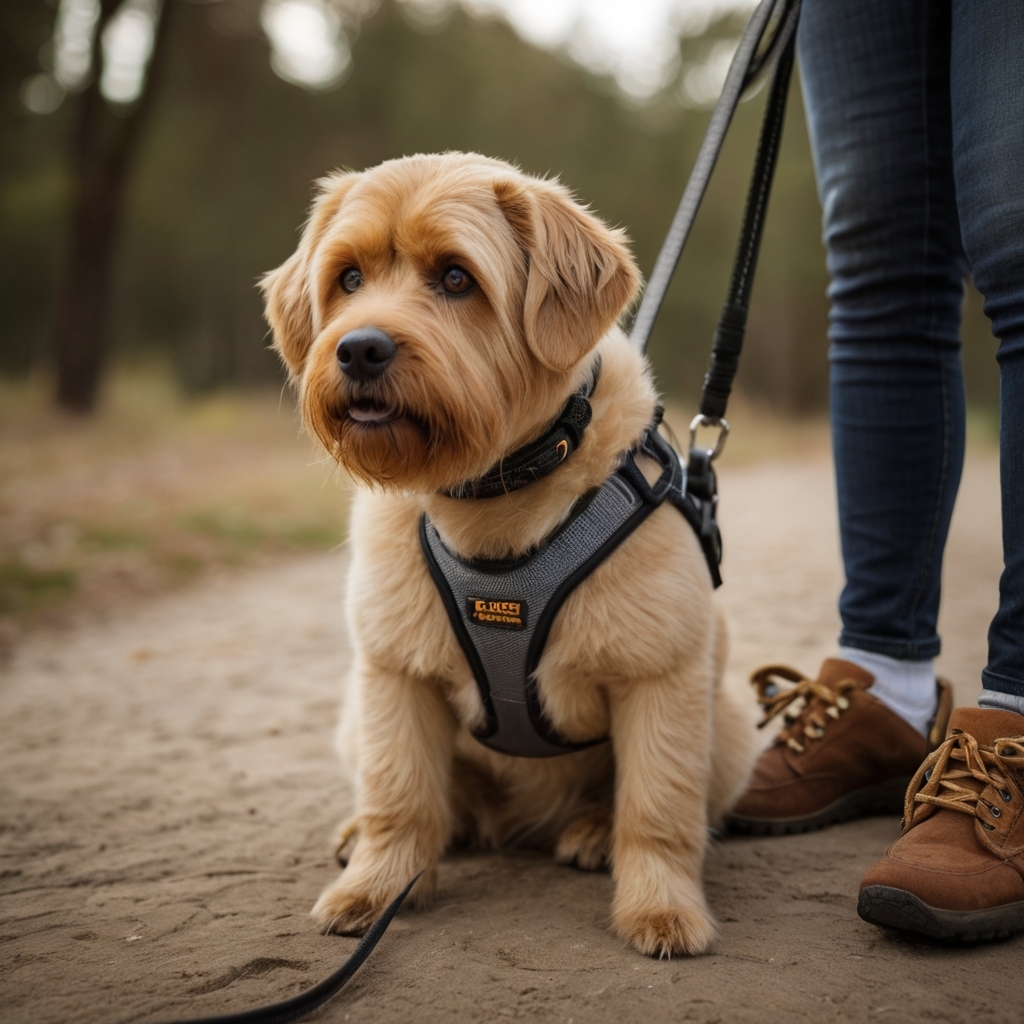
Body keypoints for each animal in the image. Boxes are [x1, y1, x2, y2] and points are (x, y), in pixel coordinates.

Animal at [262, 151, 761, 958]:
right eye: (348, 278)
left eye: (456, 277)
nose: (359, 348)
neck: (494, 493)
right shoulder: (395, 676)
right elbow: (399, 797)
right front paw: (376, 887)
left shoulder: (660, 679)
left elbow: (657, 812)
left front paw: (661, 908)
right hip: (355, 713)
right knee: (423, 799)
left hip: (733, 724)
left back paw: (591, 831)